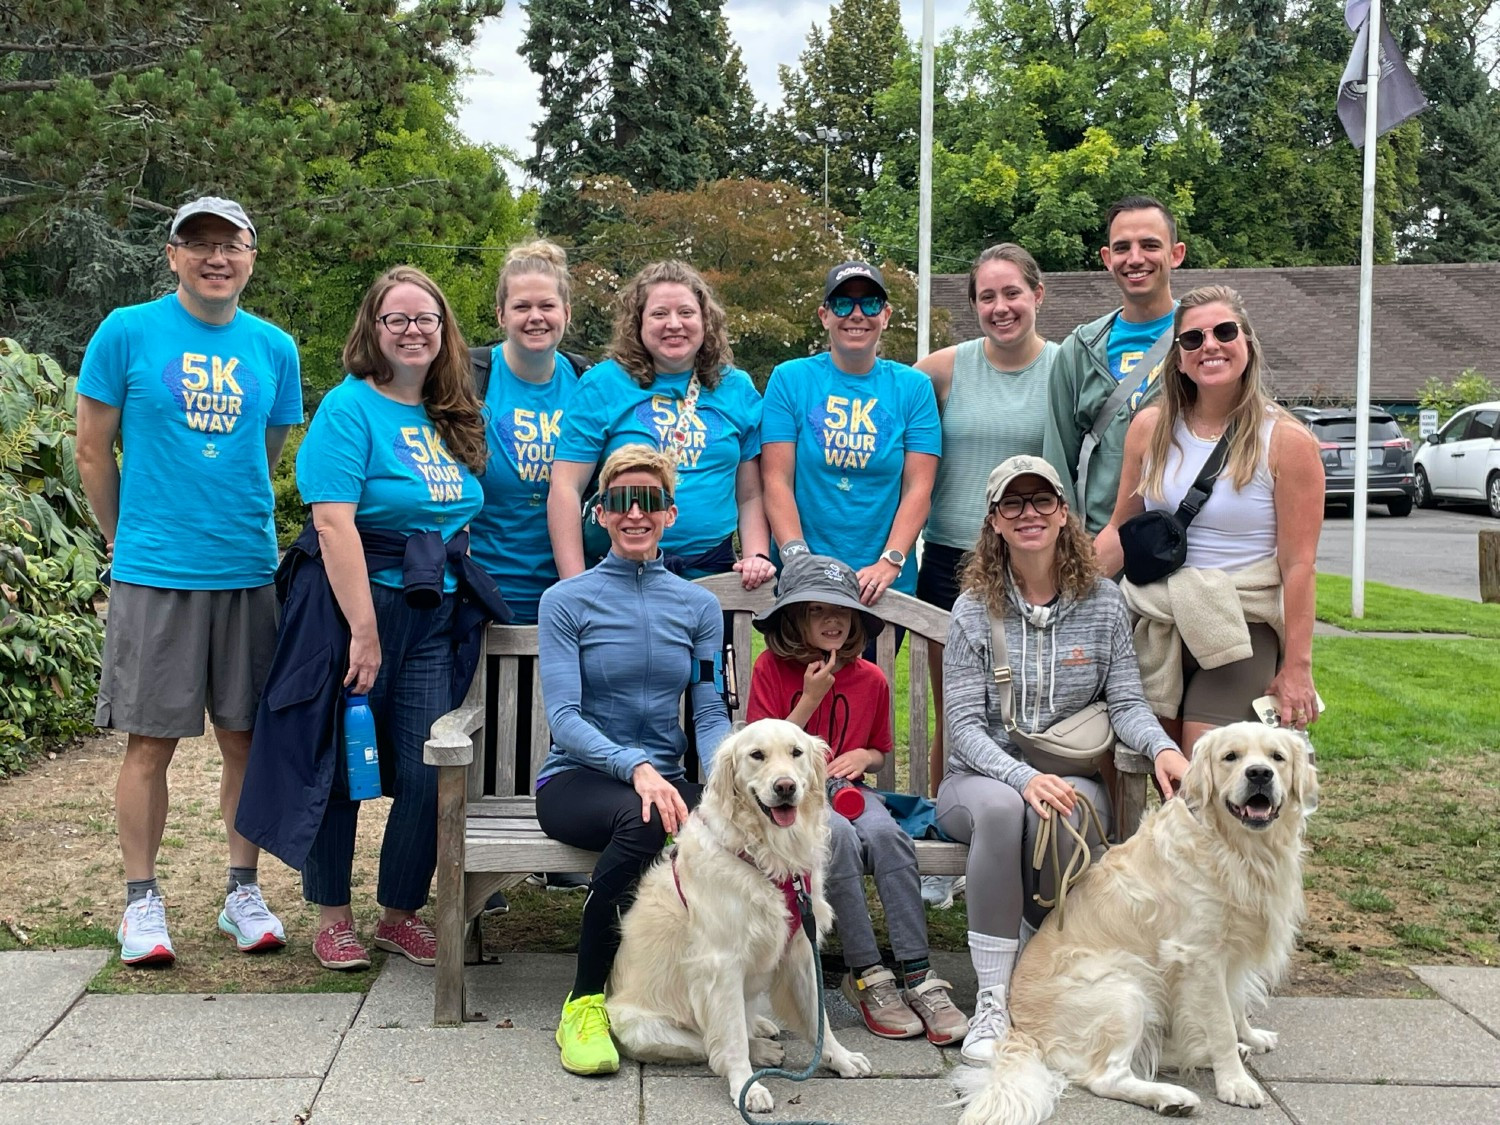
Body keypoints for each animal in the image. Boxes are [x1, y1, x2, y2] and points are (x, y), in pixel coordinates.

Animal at [603, 717, 876, 1116]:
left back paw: (761, 1027)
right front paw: (748, 1088)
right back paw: (761, 1049)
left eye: (796, 752)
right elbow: (730, 1040)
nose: (785, 786)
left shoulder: (801, 949)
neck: (769, 856)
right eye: (756, 755)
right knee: (707, 1042)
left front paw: (839, 1058)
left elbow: (818, 1016)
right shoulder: (721, 964)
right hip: (640, 1025)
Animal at [954, 723, 1320, 1125]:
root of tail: (1024, 1033)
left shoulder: (1232, 950)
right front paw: (1235, 1084)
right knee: (1108, 1076)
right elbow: (1221, 1022)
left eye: (1277, 757)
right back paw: (1173, 1095)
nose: (1259, 774)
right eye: (1230, 757)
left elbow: (1235, 1007)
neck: (1238, 850)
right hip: (1125, 988)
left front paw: (1250, 1037)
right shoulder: (1200, 956)